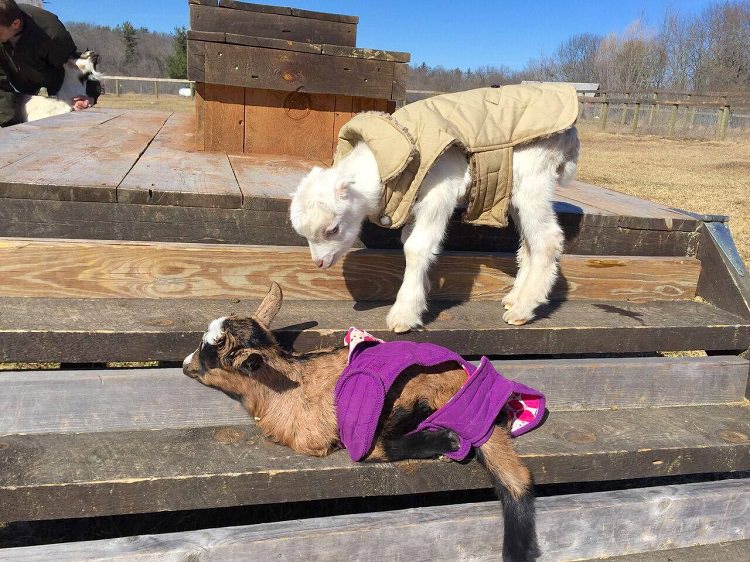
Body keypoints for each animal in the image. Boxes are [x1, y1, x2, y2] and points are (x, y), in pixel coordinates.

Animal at [183, 282, 542, 562]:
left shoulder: (316, 438)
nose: (185, 365)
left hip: (392, 406)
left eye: (210, 356)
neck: (282, 382)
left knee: (382, 445)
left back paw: (446, 440)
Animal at [290, 97, 579, 333]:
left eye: (332, 229)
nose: (319, 263)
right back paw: (514, 298)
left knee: (548, 239)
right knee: (530, 243)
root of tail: (570, 135)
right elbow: (408, 241)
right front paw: (423, 287)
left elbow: (416, 247)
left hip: (532, 178)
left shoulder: (441, 190)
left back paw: (522, 309)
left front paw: (404, 313)